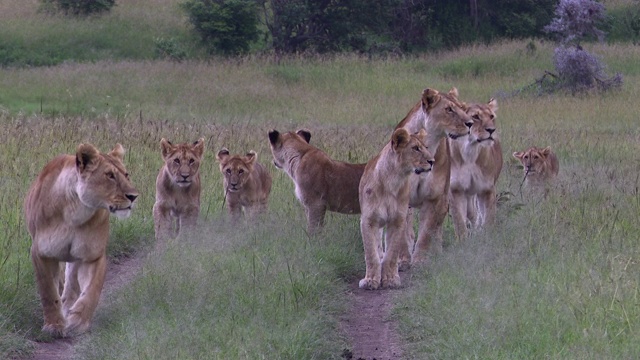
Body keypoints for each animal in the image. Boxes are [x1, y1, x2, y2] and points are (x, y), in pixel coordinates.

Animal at [24, 143, 138, 338]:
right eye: (110, 175)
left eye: (126, 174)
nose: (133, 196)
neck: (75, 212)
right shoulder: (41, 253)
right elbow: (48, 292)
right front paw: (54, 326)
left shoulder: (93, 256)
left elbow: (91, 291)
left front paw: (77, 322)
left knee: (71, 285)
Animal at [358, 129, 432, 290]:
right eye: (415, 148)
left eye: (426, 147)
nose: (432, 161)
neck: (393, 180)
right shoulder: (368, 220)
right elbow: (371, 253)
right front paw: (370, 280)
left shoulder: (398, 220)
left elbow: (392, 254)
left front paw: (390, 279)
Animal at [448, 98, 502, 240]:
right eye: (476, 117)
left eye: (491, 116)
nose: (491, 130)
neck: (470, 151)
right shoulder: (456, 190)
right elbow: (459, 222)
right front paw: (463, 241)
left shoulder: (487, 189)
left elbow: (488, 219)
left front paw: (487, 238)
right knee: (471, 214)